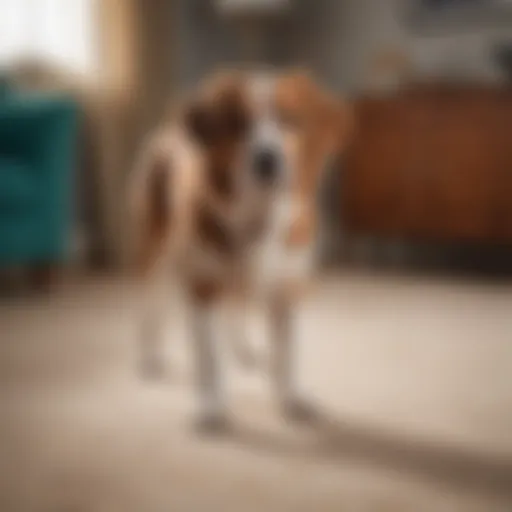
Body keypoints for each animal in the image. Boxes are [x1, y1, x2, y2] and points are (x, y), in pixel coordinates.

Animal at [128, 69, 352, 432]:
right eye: (237, 124)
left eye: (290, 119)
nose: (267, 159)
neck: (258, 215)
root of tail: (169, 127)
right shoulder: (203, 283)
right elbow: (208, 357)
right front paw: (211, 407)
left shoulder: (287, 286)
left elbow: (287, 352)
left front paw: (292, 398)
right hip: (153, 248)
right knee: (150, 304)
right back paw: (149, 357)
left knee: (236, 305)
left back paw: (243, 350)